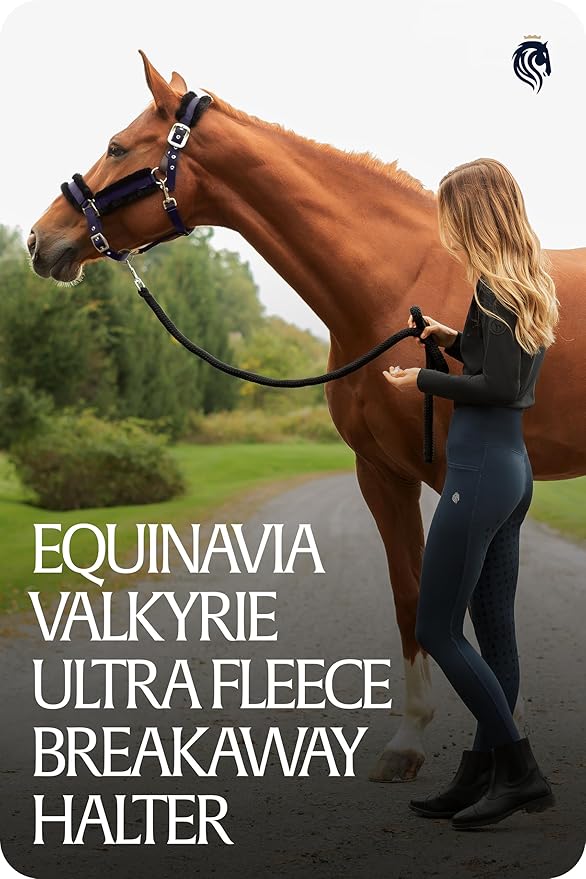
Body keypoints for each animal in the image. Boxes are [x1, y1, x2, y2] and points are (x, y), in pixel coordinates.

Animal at [28, 50, 586, 782]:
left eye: (118, 146)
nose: (39, 239)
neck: (395, 282)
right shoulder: (381, 474)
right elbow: (412, 598)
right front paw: (409, 740)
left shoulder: (452, 476)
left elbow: (472, 606)